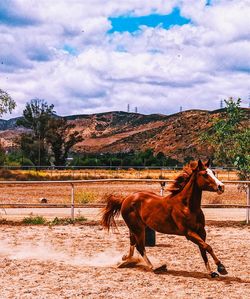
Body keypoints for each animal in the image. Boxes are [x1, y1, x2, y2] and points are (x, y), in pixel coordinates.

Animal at [101, 161, 229, 280]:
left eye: (213, 172)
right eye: (204, 174)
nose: (221, 187)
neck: (187, 206)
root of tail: (125, 199)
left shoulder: (201, 231)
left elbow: (203, 249)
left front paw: (211, 272)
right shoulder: (189, 233)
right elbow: (207, 246)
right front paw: (221, 267)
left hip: (135, 228)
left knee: (132, 244)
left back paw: (125, 259)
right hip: (138, 228)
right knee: (140, 247)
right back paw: (154, 267)